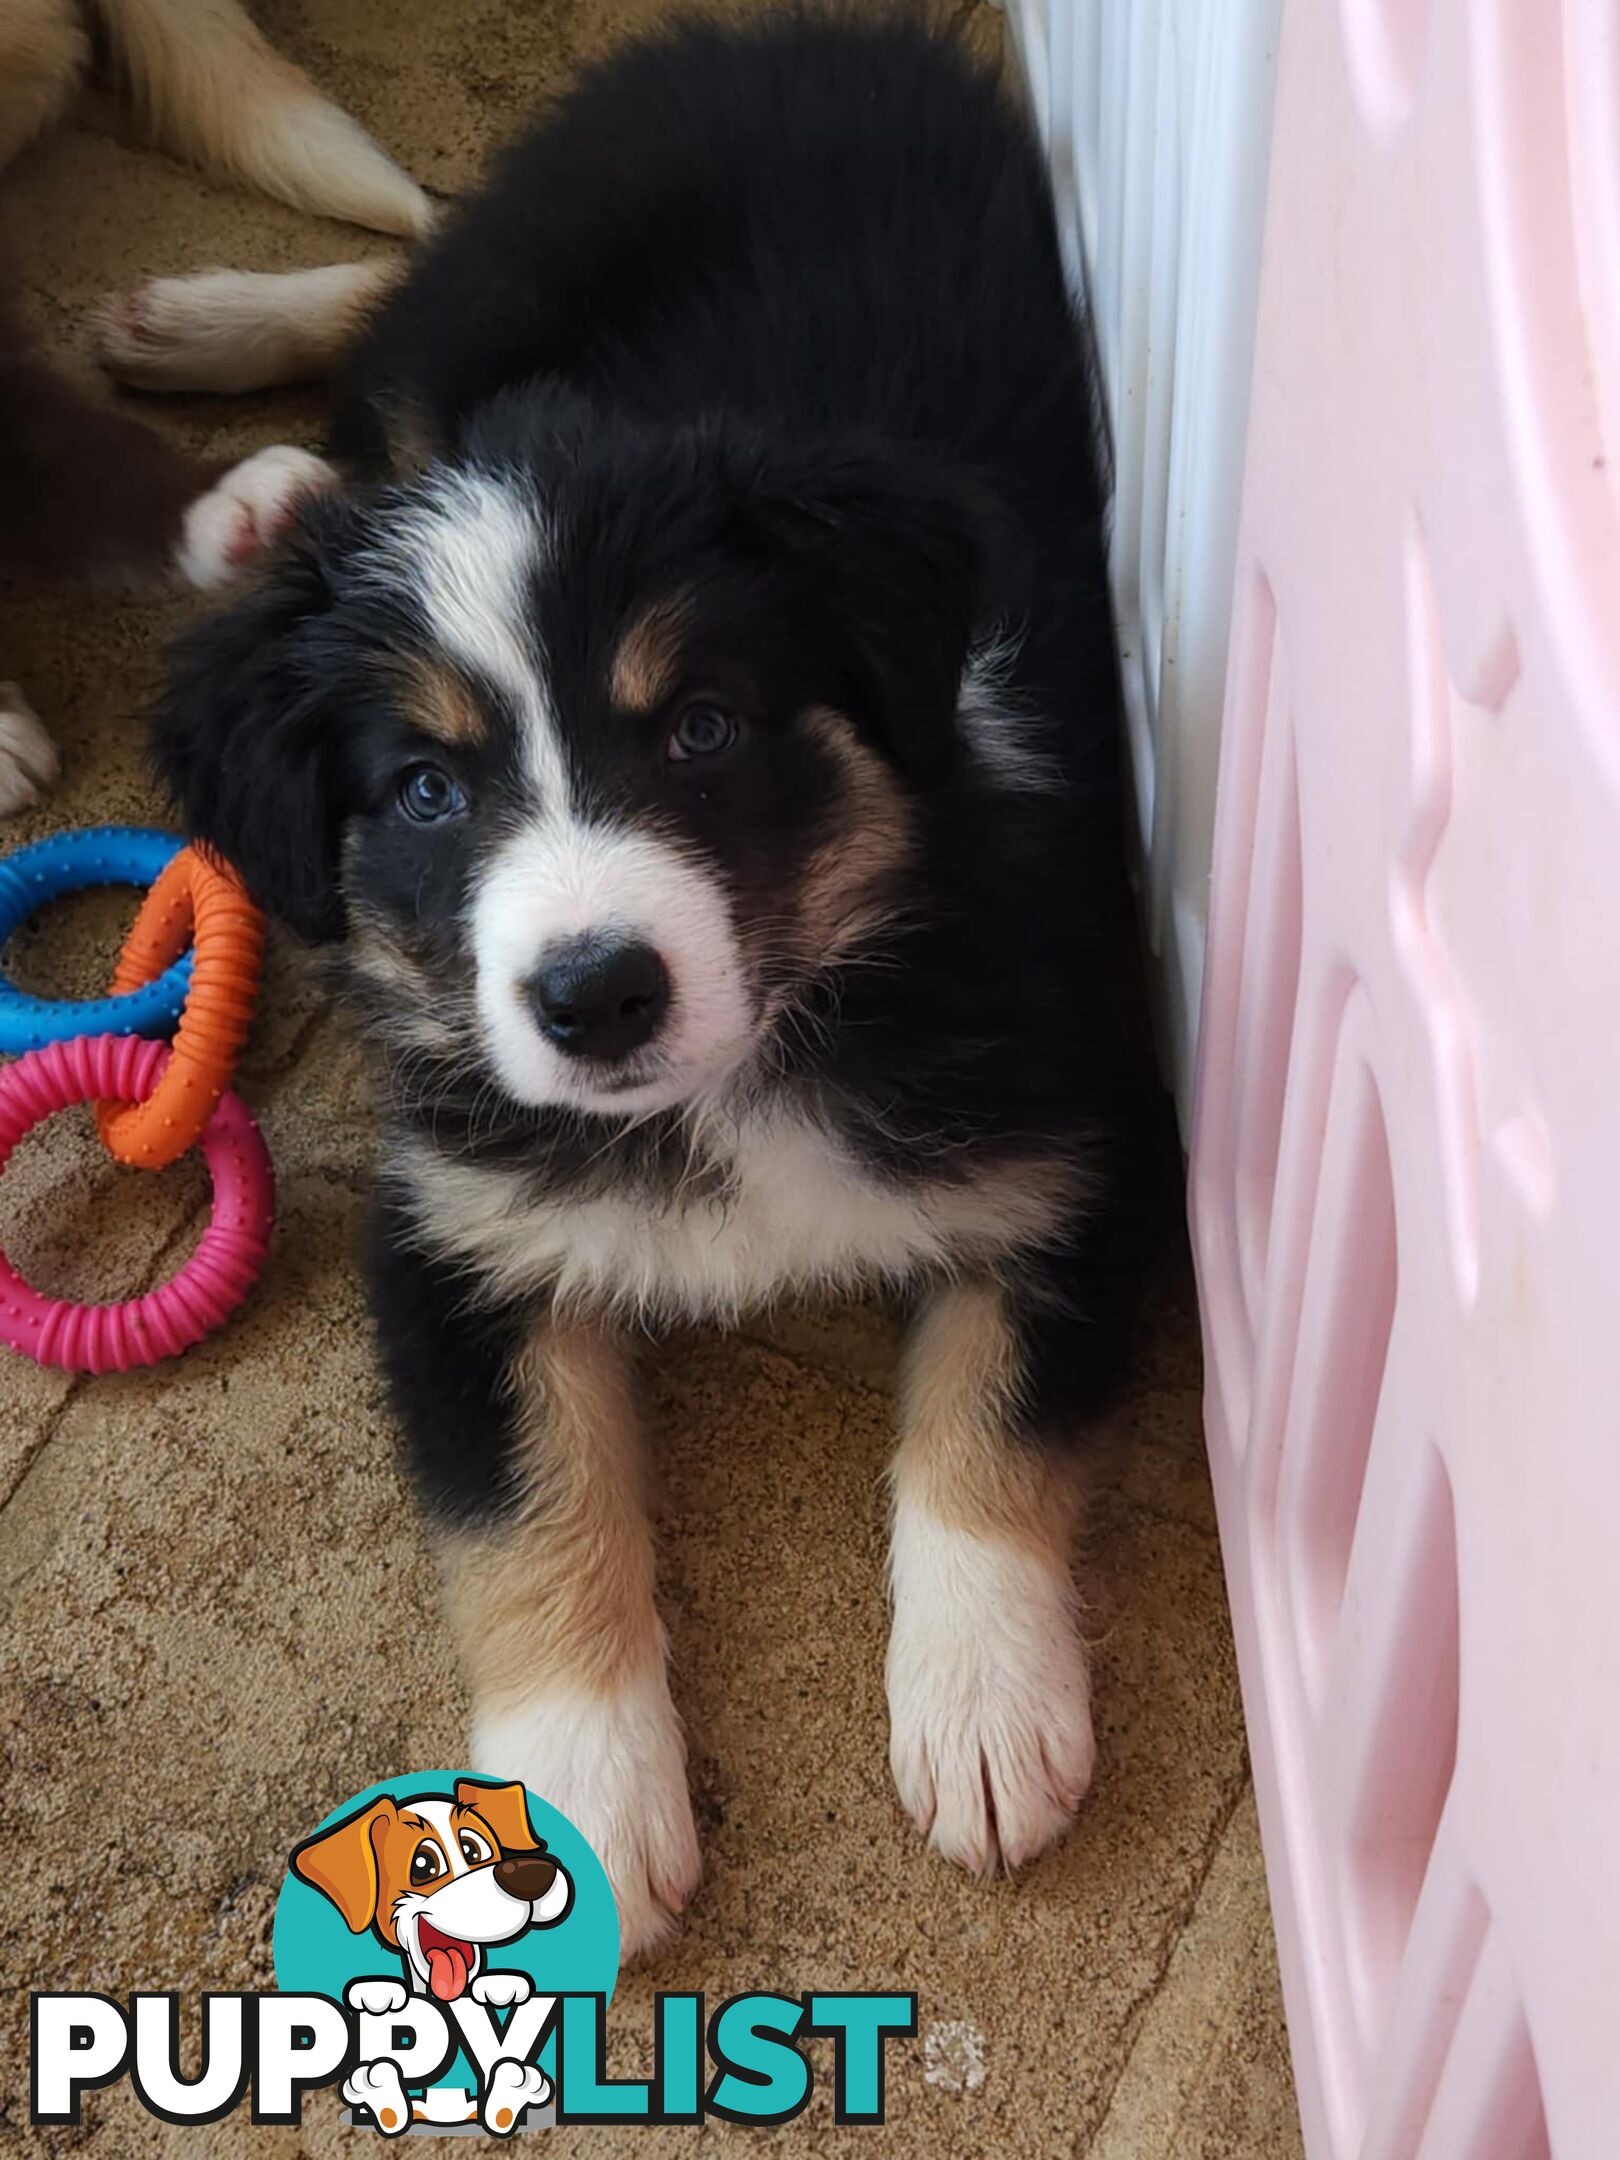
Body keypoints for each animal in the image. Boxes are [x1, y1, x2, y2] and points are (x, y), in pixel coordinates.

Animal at [152, 12, 1166, 1961]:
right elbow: (530, 1509)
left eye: (701, 727)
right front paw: (574, 1804)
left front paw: (986, 1704)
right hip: (517, 269)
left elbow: (990, 1416)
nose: (595, 996)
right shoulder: (453, 1235)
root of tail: (789, 34)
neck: (752, 1063)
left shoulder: (1081, 1142)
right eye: (425, 791)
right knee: (410, 300)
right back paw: (226, 417)